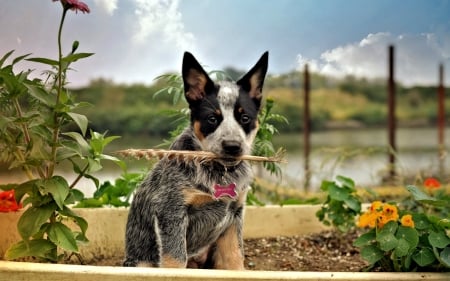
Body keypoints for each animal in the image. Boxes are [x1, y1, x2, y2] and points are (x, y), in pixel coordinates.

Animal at [123, 51, 268, 268]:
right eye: (212, 119)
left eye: (245, 118)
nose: (233, 146)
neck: (219, 173)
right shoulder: (171, 212)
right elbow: (175, 260)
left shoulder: (234, 215)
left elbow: (235, 258)